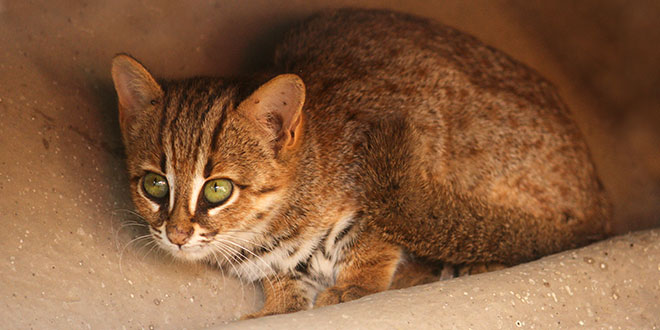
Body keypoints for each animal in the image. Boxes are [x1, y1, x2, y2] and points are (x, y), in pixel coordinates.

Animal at [111, 7, 612, 318]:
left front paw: (359, 284)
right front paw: (277, 306)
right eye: (155, 184)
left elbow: (374, 240)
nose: (176, 235)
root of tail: (601, 203)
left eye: (218, 189)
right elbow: (283, 285)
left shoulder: (401, 144)